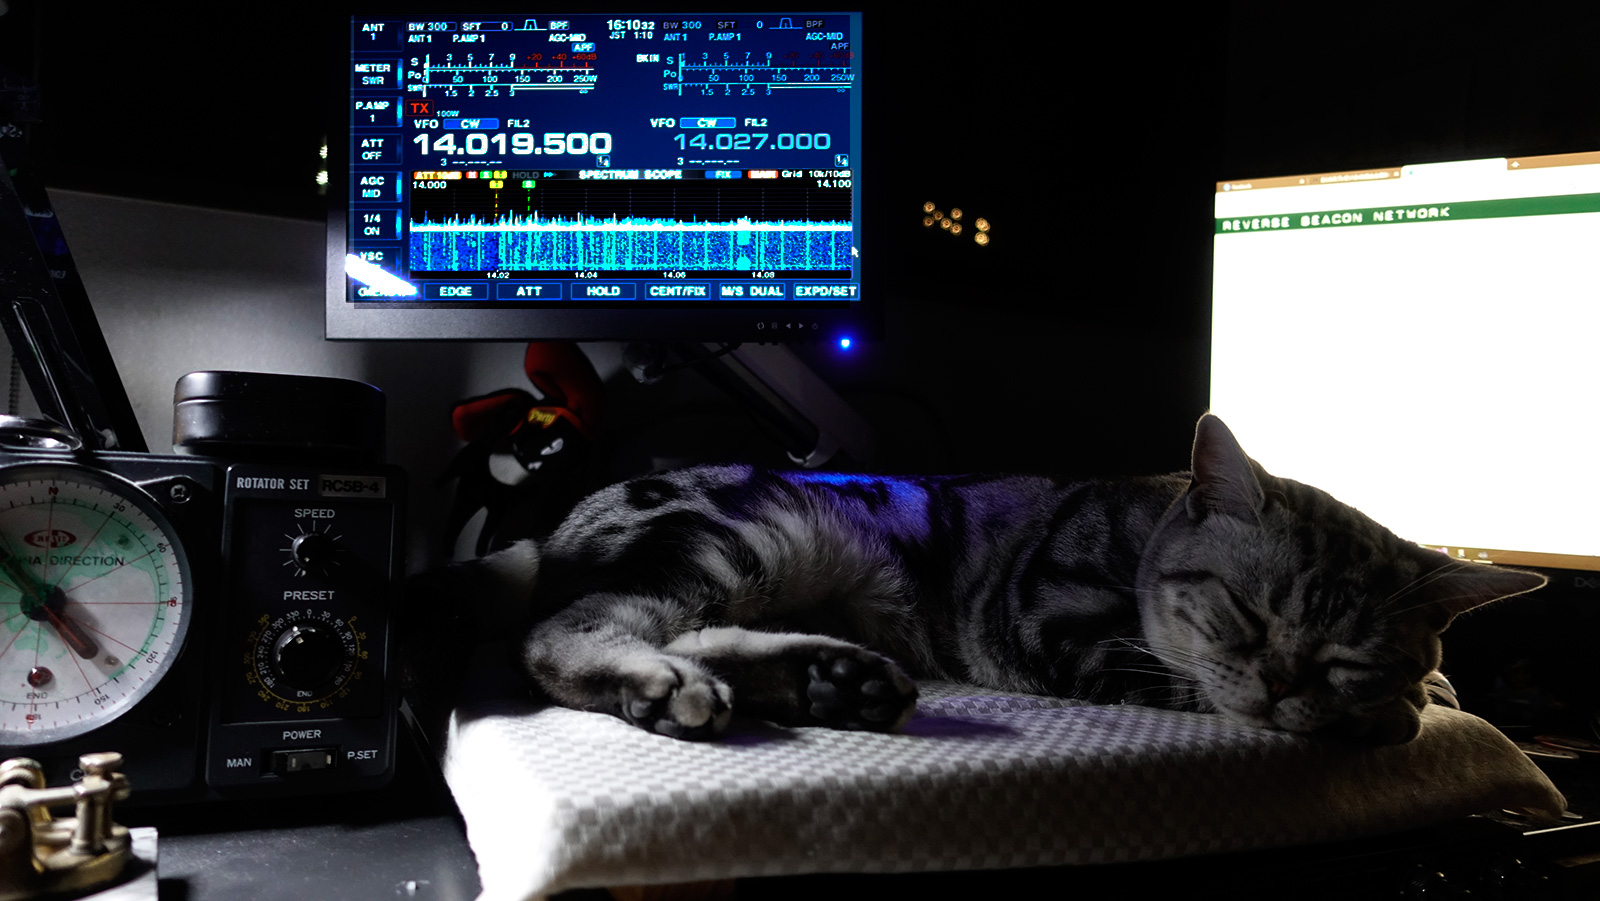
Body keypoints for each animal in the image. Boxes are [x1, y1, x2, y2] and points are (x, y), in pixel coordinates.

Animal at [427, 413, 1544, 744]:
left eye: (1349, 653)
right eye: (1242, 611)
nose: (1282, 686)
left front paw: (1433, 685)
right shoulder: (1063, 624)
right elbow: (1178, 680)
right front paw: (1406, 708)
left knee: (693, 631)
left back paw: (829, 679)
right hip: (745, 533)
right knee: (572, 633)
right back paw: (662, 686)